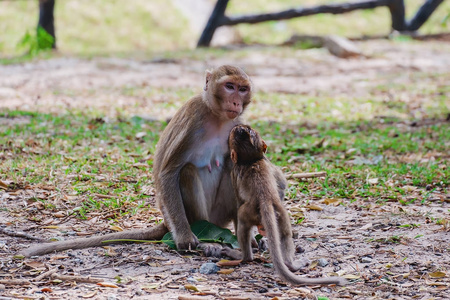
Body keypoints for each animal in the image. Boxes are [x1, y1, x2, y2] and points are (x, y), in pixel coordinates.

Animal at [21, 65, 251, 258]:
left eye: (242, 89)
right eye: (229, 86)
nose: (236, 102)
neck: (217, 117)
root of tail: (166, 223)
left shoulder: (237, 124)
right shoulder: (193, 117)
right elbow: (168, 172)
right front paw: (185, 237)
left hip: (219, 216)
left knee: (232, 165)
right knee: (187, 171)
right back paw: (206, 241)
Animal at [227, 124, 346, 286]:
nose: (239, 127)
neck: (251, 160)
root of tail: (265, 200)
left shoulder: (234, 172)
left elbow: (239, 200)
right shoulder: (270, 165)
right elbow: (282, 185)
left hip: (248, 212)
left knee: (242, 221)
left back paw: (243, 256)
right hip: (281, 213)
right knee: (285, 234)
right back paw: (291, 264)